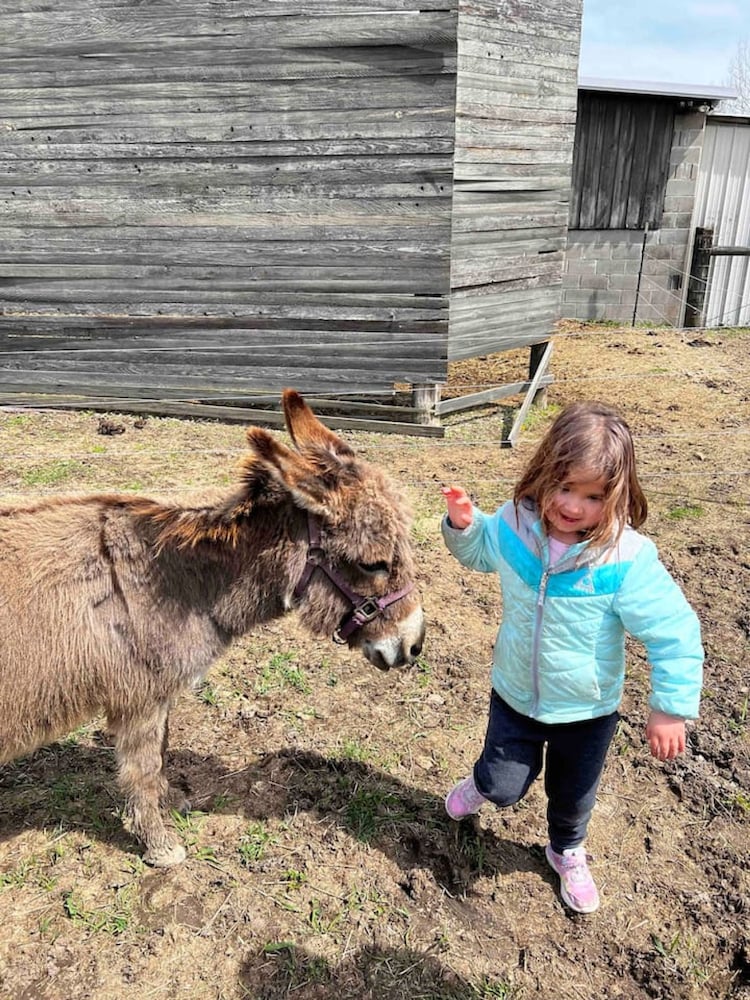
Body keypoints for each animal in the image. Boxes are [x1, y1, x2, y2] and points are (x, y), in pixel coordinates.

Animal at [0, 389, 425, 866]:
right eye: (374, 564)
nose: (415, 643)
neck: (181, 579)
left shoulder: (159, 696)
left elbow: (162, 754)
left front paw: (169, 805)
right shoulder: (139, 699)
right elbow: (144, 769)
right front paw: (159, 846)